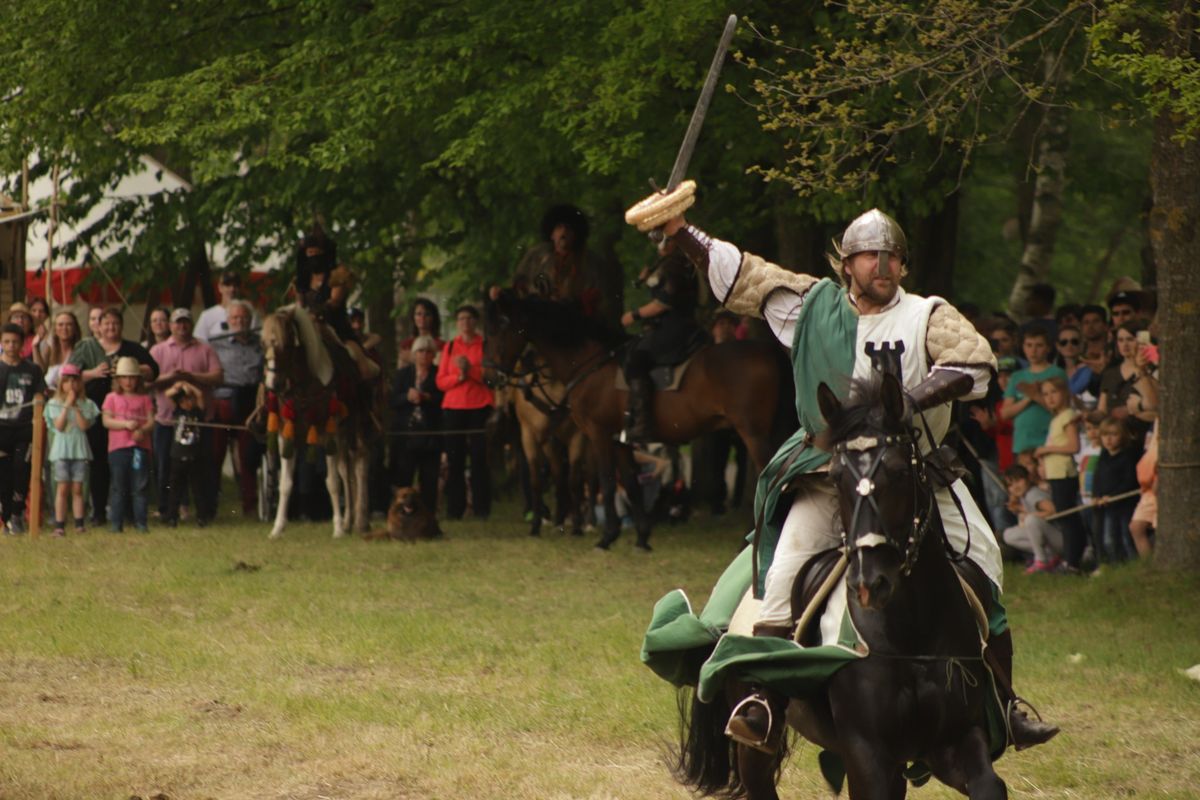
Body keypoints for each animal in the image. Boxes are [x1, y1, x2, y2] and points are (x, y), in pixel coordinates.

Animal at [482, 292, 792, 551]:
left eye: (499, 331)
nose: (490, 377)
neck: (591, 363)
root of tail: (771, 352)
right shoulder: (621, 439)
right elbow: (630, 483)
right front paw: (642, 536)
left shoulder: (598, 433)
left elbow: (607, 482)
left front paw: (607, 536)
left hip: (754, 434)